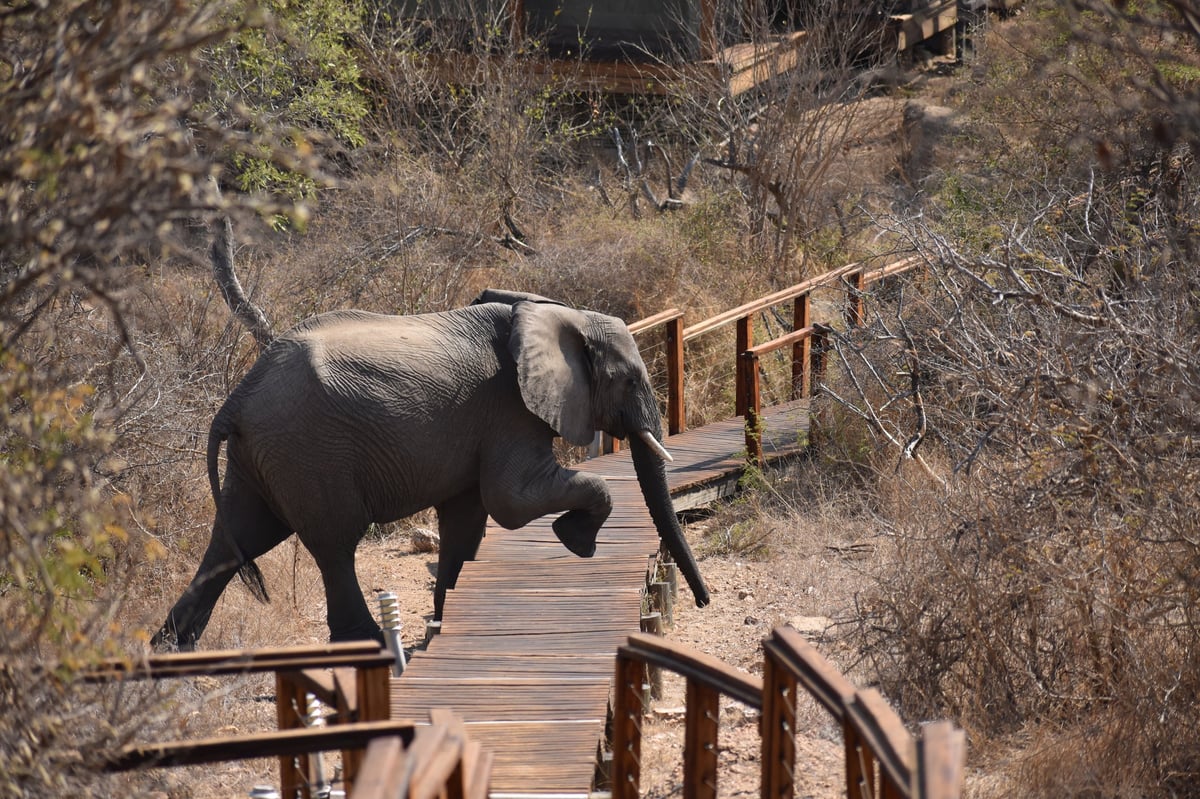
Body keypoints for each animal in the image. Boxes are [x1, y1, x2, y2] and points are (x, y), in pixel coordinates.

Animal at [152, 289, 710, 650]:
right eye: (629, 379)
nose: (705, 601)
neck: (557, 313)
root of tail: (238, 395)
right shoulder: (508, 409)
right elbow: (510, 502)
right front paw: (578, 542)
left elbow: (466, 520)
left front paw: (444, 619)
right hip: (307, 450)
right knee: (333, 543)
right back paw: (368, 644)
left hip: (263, 455)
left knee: (237, 539)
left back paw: (170, 648)